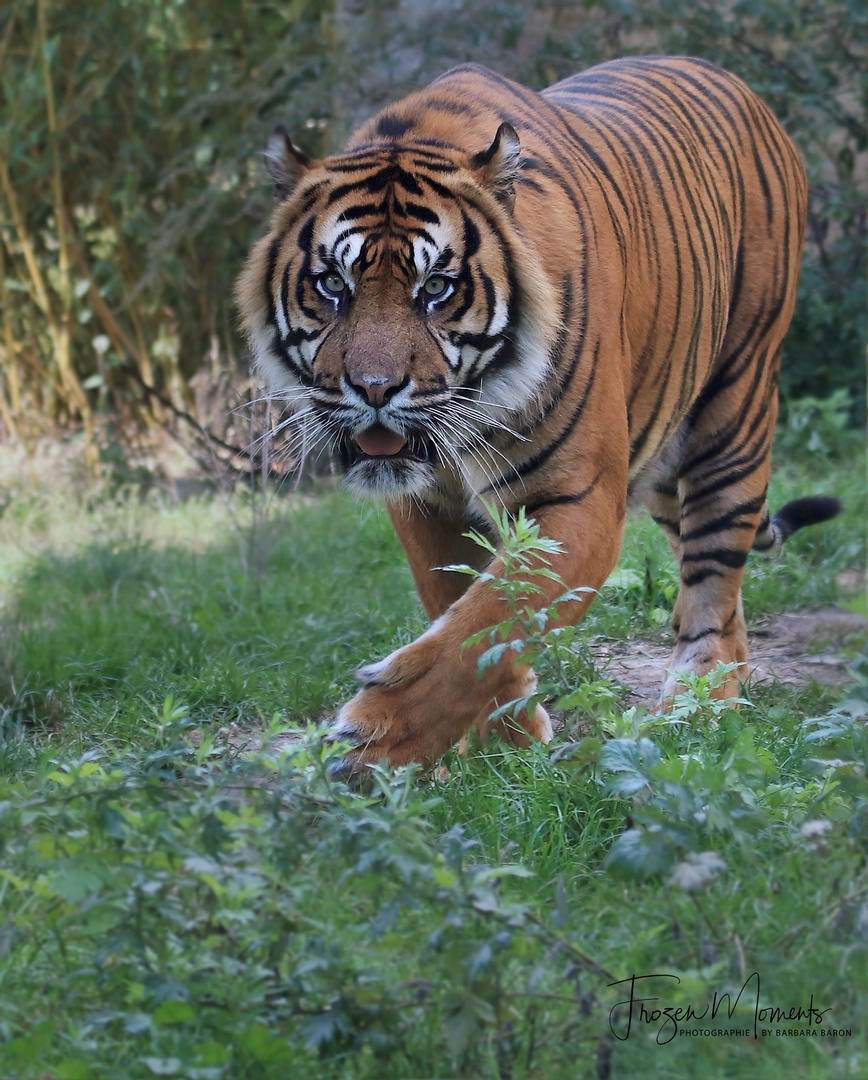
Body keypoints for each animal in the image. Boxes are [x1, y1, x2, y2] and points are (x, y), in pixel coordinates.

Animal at [234, 54, 837, 777]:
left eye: (435, 288)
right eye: (332, 285)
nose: (374, 390)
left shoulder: (578, 500)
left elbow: (487, 625)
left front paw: (376, 744)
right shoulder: (425, 505)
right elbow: (463, 609)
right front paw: (507, 744)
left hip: (734, 410)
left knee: (715, 575)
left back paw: (698, 705)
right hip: (667, 458)